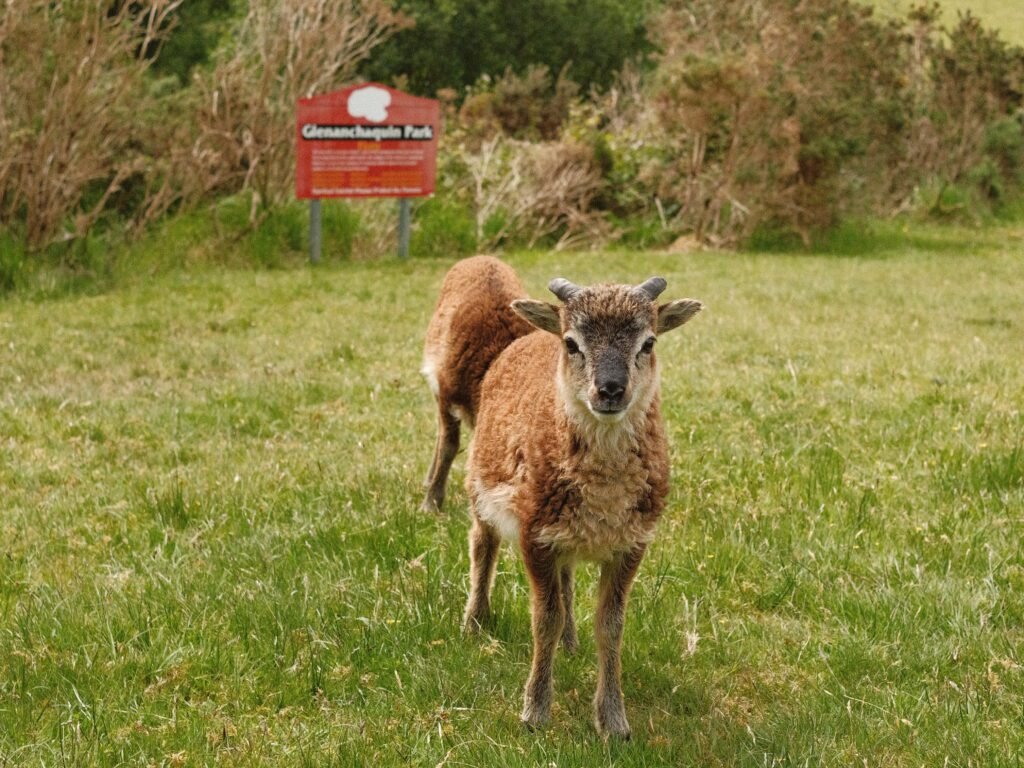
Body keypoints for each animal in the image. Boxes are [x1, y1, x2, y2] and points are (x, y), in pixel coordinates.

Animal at [460, 274, 700, 741]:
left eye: (648, 342)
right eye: (572, 343)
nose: (610, 389)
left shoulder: (632, 543)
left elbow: (610, 626)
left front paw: (614, 722)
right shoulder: (534, 533)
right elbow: (544, 619)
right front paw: (535, 713)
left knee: (567, 576)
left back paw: (570, 644)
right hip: (478, 483)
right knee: (482, 544)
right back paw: (475, 622)